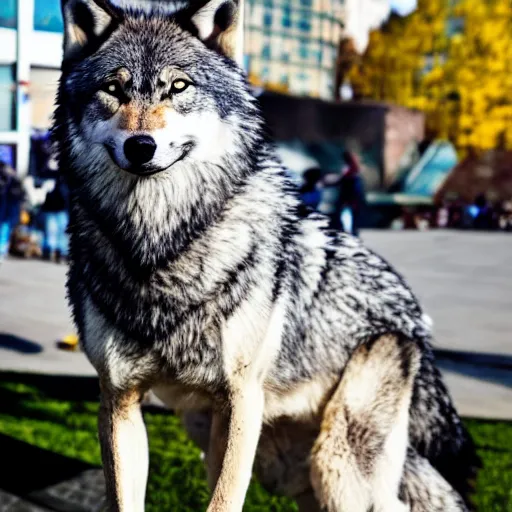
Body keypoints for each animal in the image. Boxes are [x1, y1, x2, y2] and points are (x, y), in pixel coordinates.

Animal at [56, 0, 480, 510]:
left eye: (178, 87)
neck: (158, 245)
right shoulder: (120, 397)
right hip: (273, 463)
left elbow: (223, 502)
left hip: (337, 467)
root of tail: (415, 316)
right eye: (113, 89)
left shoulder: (239, 400)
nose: (141, 146)